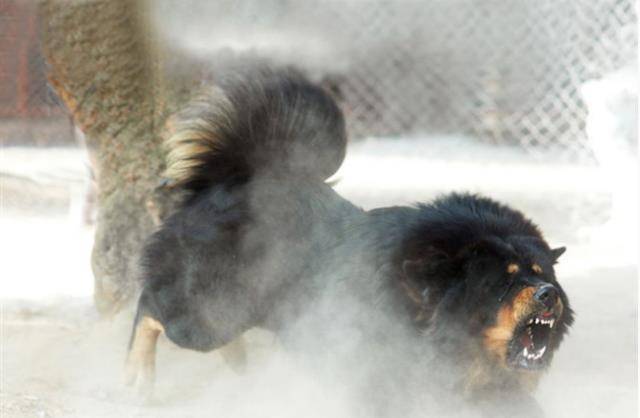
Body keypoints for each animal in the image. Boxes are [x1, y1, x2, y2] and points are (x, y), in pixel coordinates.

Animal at [125, 67, 576, 414]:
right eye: (504, 280)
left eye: (541, 274)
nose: (547, 294)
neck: (424, 314)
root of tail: (232, 178)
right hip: (208, 313)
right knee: (150, 308)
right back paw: (137, 378)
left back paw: (238, 362)